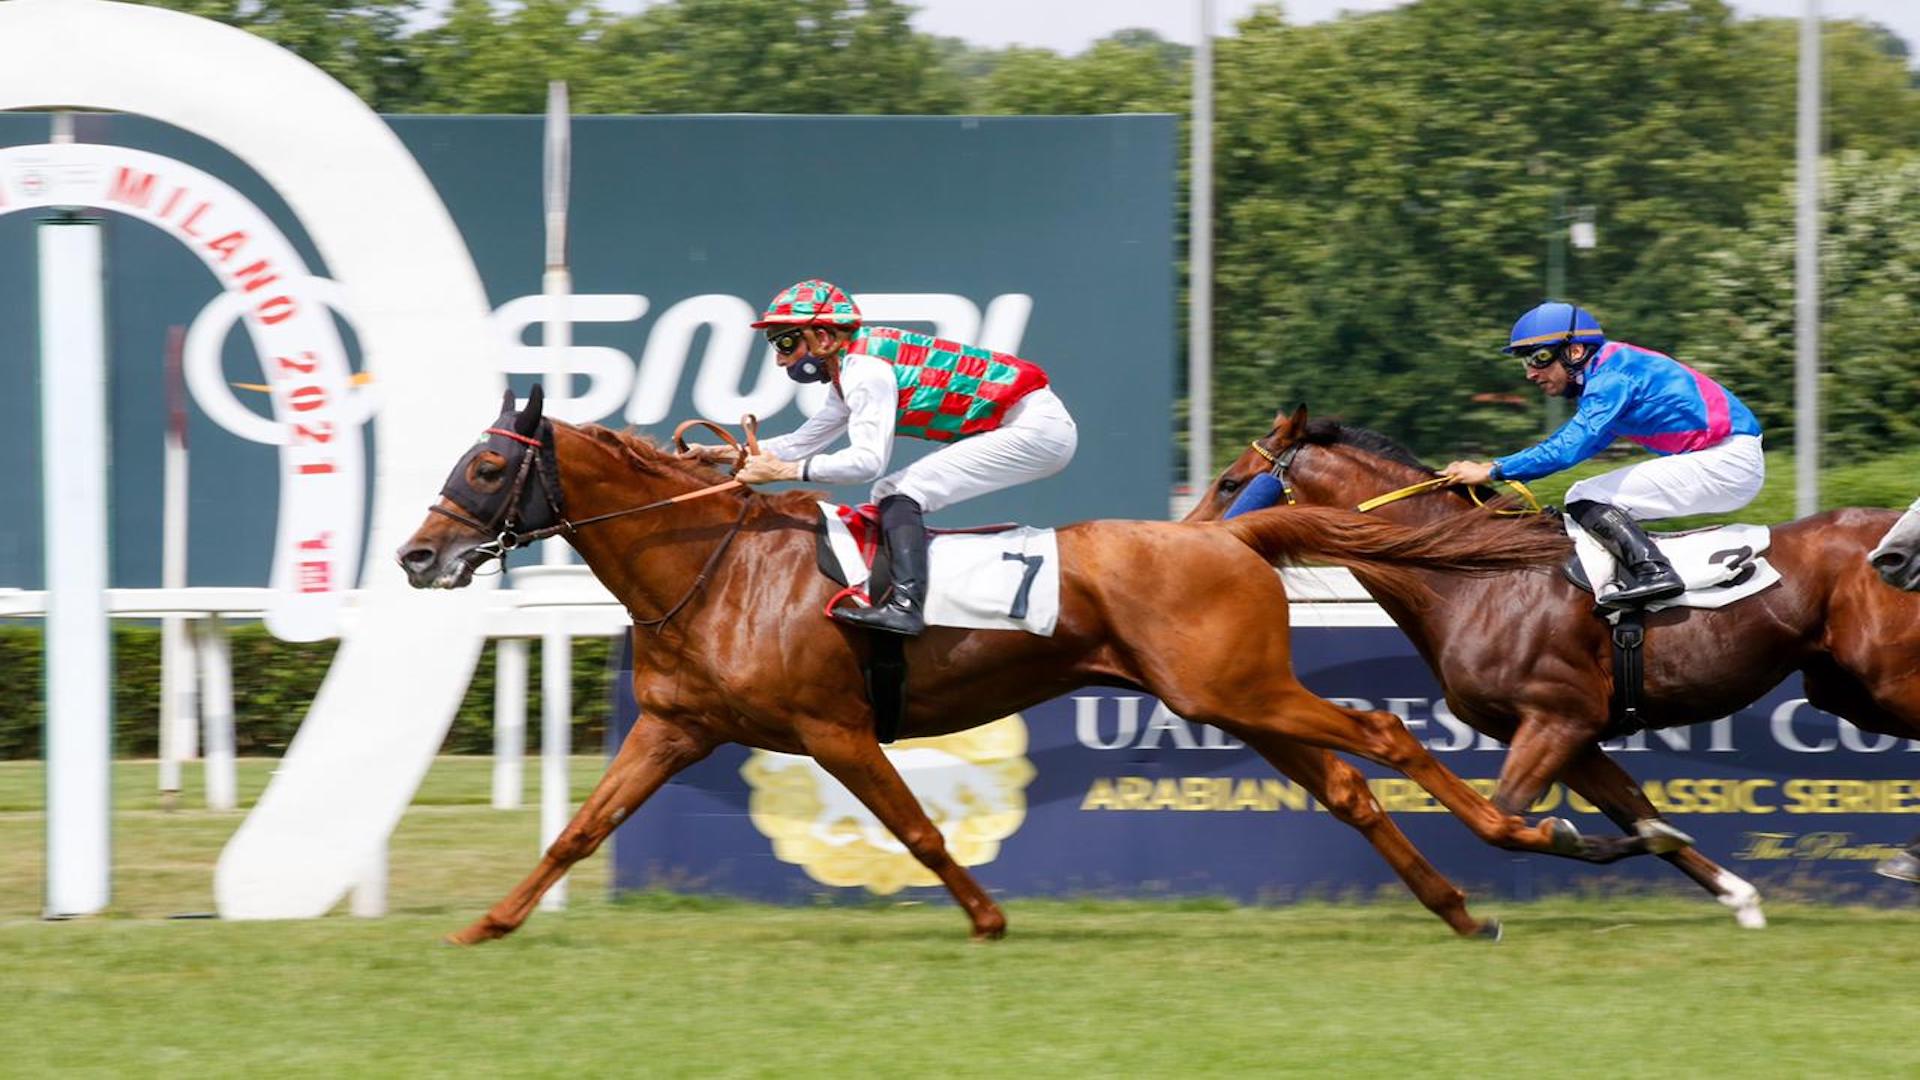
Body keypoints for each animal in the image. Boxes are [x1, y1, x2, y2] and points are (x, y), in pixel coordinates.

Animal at [393, 388, 1651, 941]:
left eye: (488, 469)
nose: (417, 556)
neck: (720, 566)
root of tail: (1227, 535)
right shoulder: (675, 728)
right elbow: (577, 831)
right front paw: (485, 929)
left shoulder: (833, 728)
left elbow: (916, 828)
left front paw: (989, 919)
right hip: (1240, 704)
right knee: (1348, 785)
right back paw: (1462, 907)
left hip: (1235, 689)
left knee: (1384, 738)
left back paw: (1533, 833)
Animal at [1182, 403, 1920, 914]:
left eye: (1229, 483)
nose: (1180, 545)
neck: (1474, 577)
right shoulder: (1571, 735)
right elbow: (1636, 811)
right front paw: (1734, 893)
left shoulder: (1557, 719)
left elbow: (1505, 817)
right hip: (1843, 689)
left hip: (1887, 680)